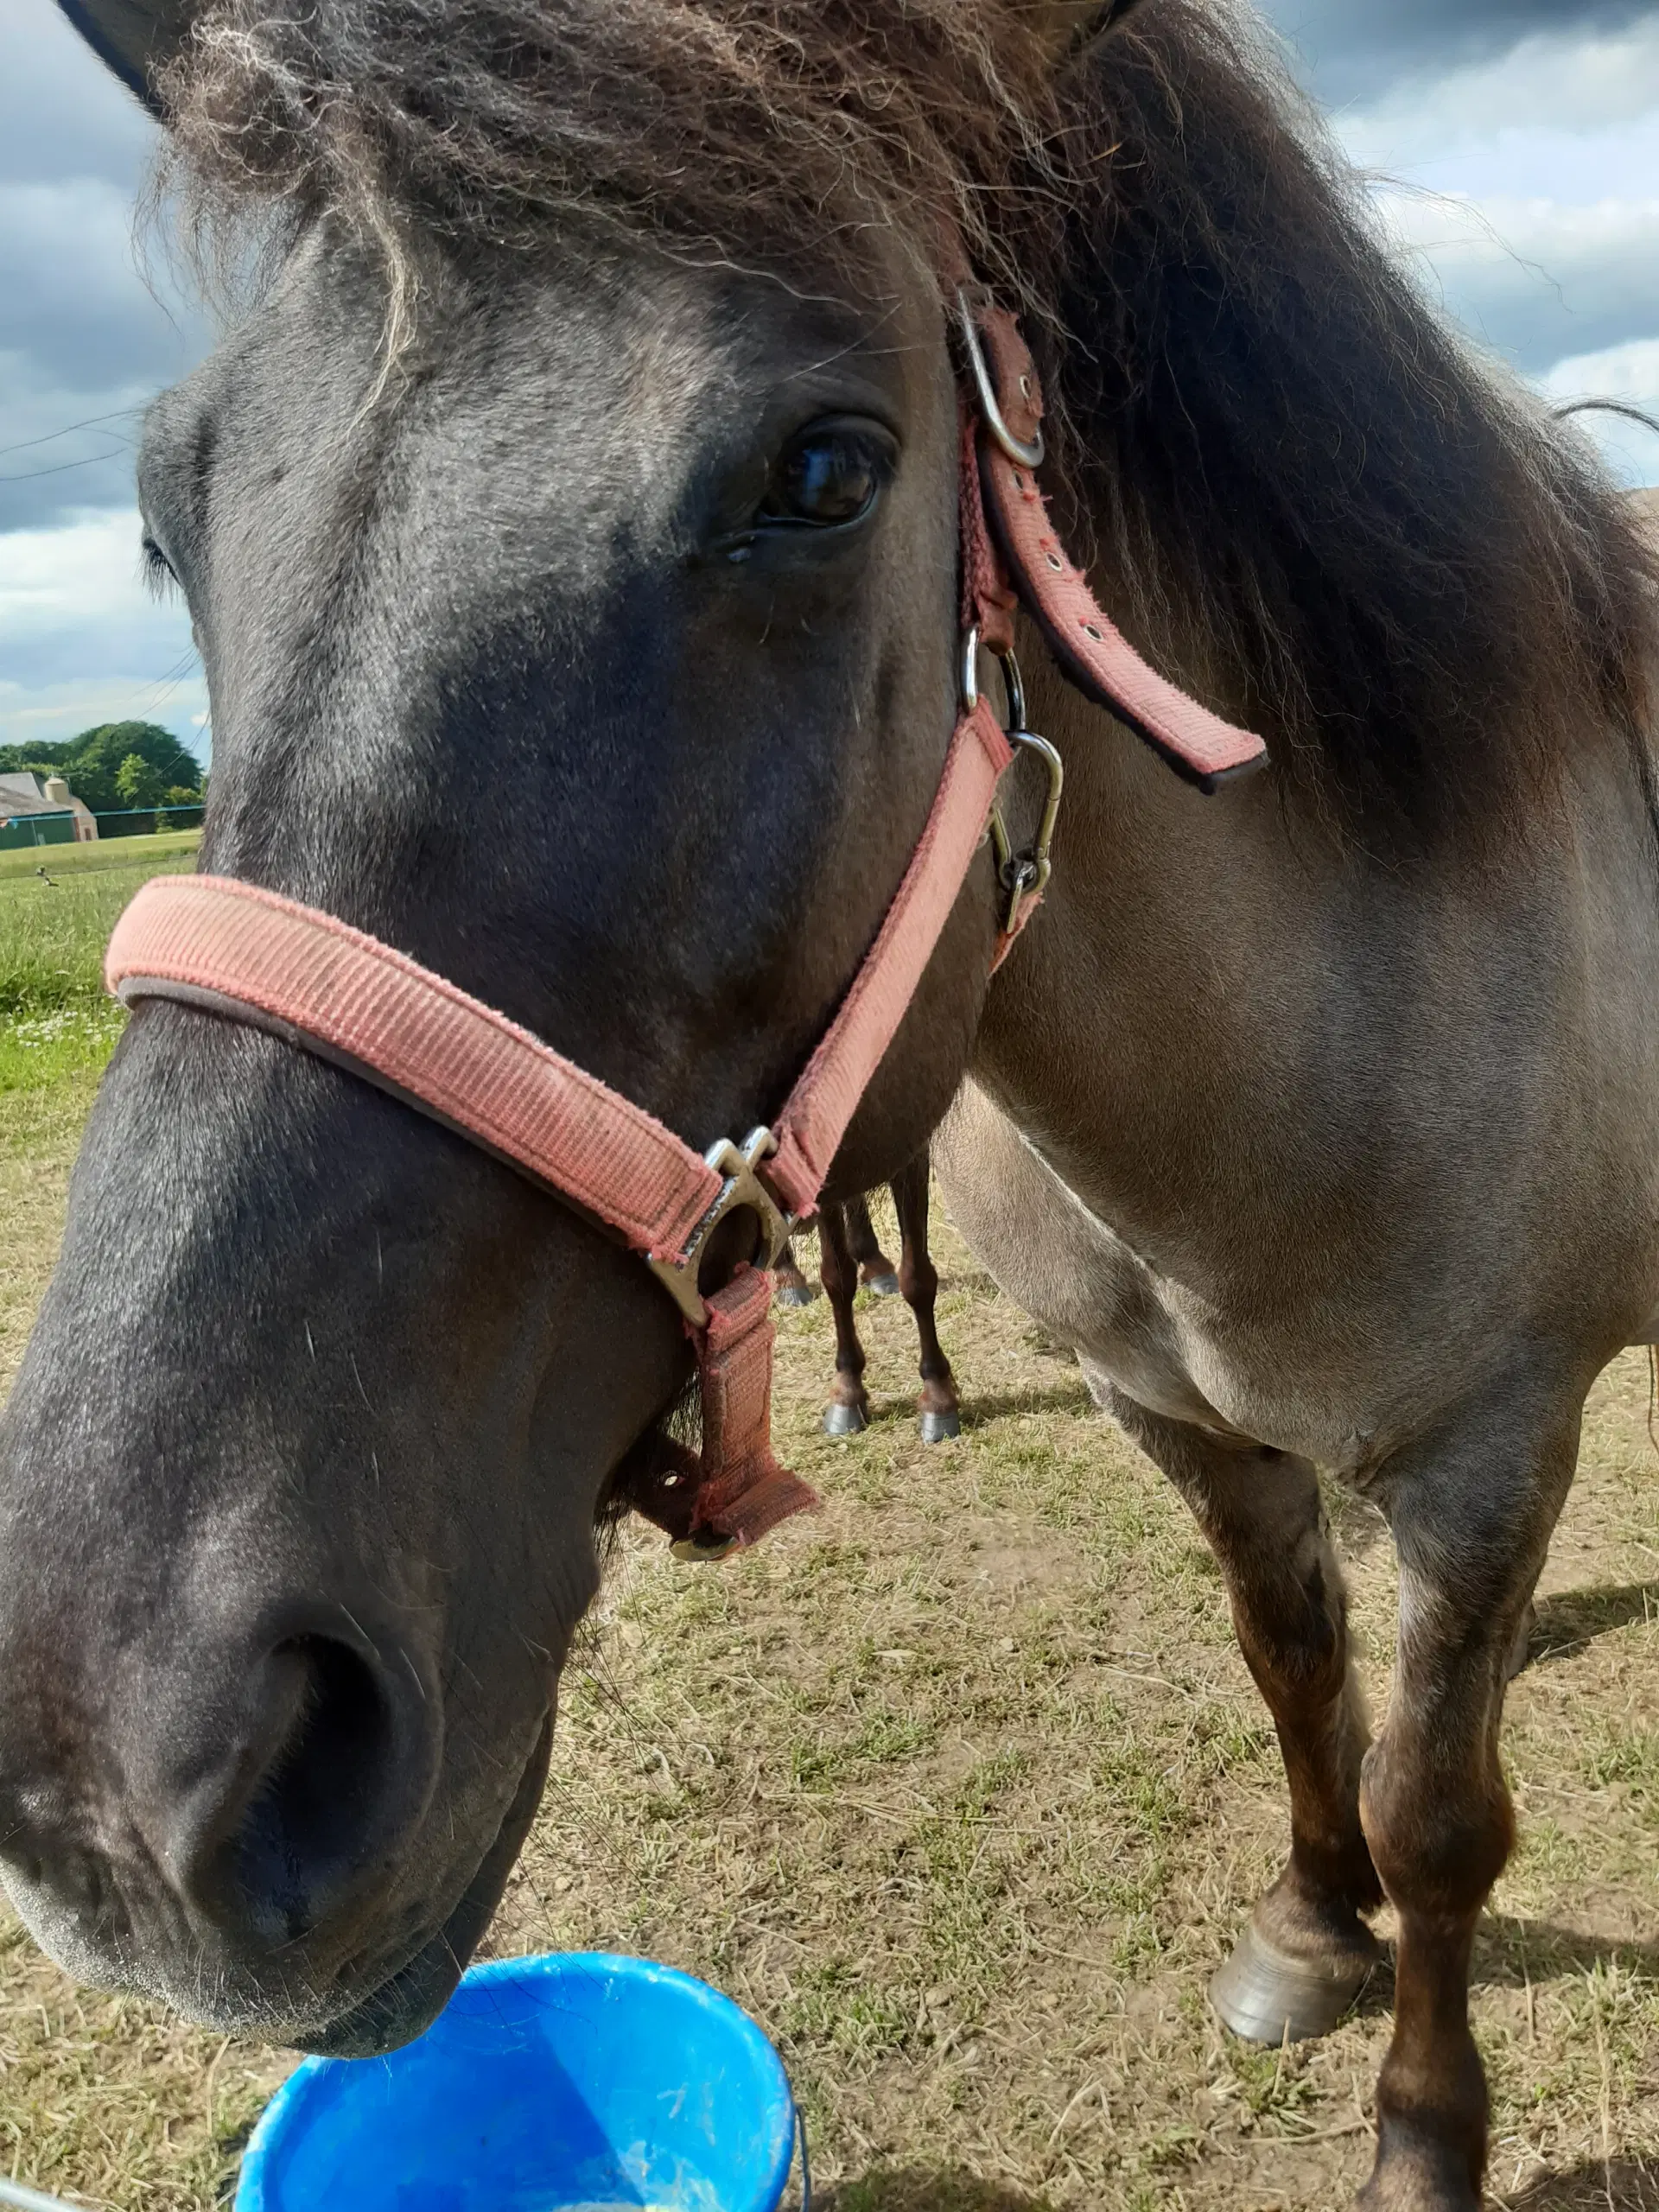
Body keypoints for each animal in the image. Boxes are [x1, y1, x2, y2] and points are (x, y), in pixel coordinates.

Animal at [3, 9, 1659, 2202]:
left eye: (824, 469)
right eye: (172, 512)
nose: (121, 1769)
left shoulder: (1489, 1452)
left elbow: (1439, 1814)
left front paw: (1420, 2127)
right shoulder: (1181, 1422)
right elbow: (1293, 1663)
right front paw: (1310, 1928)